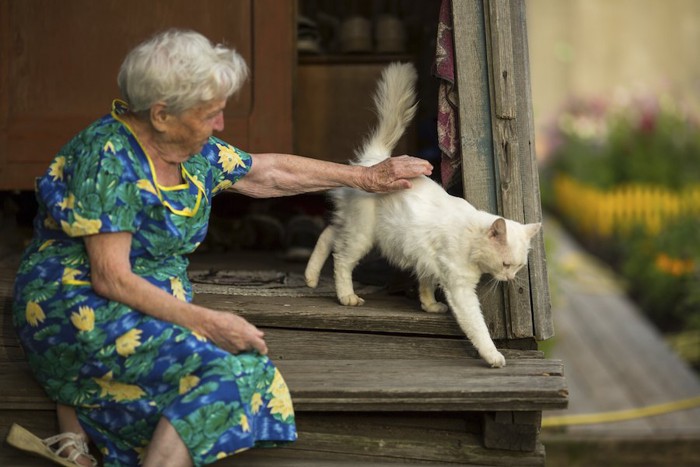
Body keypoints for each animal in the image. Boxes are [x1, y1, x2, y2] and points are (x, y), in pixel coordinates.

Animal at [304, 63, 540, 370]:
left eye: (518, 267)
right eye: (506, 264)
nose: (510, 278)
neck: (470, 237)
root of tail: (375, 161)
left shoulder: (427, 258)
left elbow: (426, 282)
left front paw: (428, 306)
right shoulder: (460, 288)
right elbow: (477, 327)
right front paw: (493, 356)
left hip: (353, 227)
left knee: (328, 234)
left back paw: (310, 277)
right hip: (362, 236)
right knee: (341, 258)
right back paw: (347, 296)